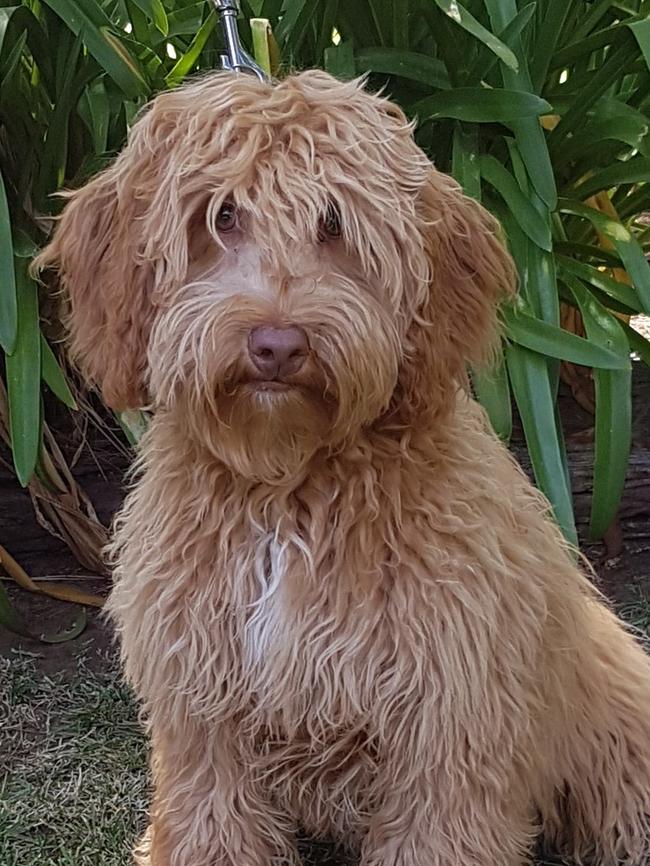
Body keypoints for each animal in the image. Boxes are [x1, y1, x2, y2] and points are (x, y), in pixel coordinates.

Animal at [34, 71, 648, 860]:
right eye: (221, 216)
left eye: (333, 223)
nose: (277, 344)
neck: (286, 485)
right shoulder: (204, 719)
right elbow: (212, 821)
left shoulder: (446, 727)